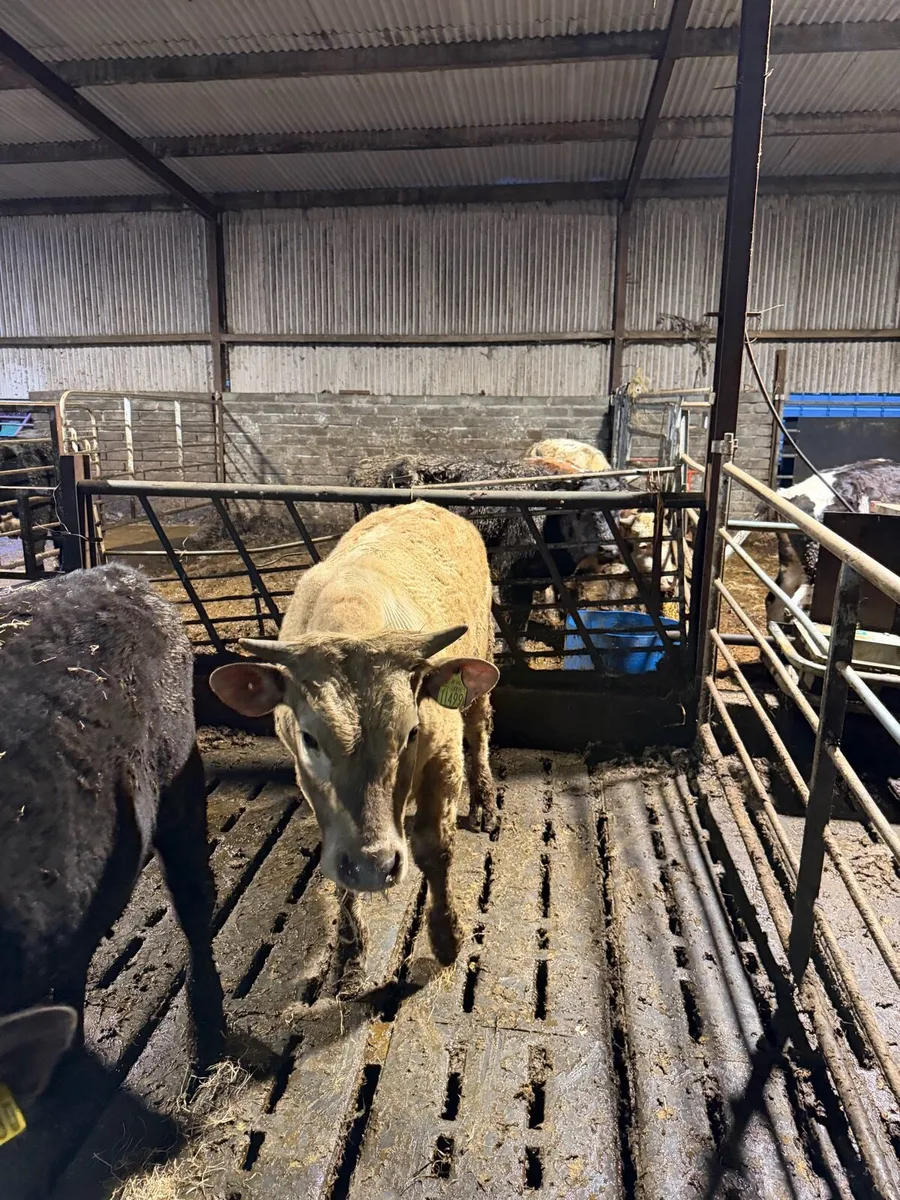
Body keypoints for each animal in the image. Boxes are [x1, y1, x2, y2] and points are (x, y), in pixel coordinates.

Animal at [210, 501, 499, 995]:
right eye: (309, 738)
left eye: (411, 732)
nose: (374, 864)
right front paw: (349, 952)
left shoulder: (443, 756)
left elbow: (435, 849)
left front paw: (447, 938)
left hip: (482, 660)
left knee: (479, 729)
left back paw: (483, 802)